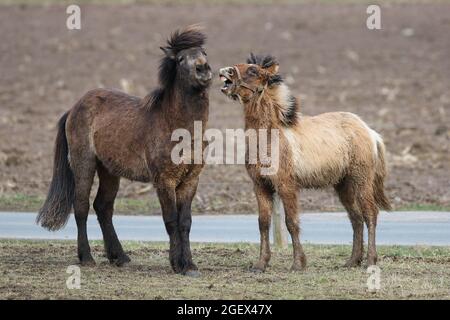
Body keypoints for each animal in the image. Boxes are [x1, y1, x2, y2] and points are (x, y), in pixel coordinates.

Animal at [36, 26, 212, 276]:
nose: (202, 68)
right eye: (180, 59)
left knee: (103, 207)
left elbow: (185, 222)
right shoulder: (164, 181)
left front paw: (189, 265)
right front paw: (177, 264)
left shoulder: (190, 180)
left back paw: (119, 257)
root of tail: (74, 108)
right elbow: (171, 221)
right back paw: (87, 257)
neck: (176, 126)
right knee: (82, 207)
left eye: (204, 52)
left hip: (109, 171)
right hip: (84, 164)